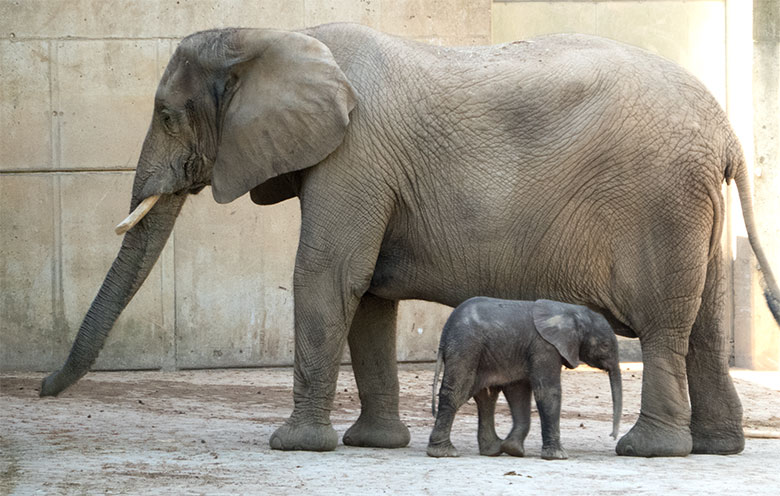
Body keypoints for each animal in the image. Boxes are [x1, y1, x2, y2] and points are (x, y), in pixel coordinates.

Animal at [426, 296, 620, 460]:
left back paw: (493, 450)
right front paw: (558, 456)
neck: (571, 312)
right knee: (457, 391)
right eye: (605, 345)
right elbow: (547, 392)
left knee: (486, 397)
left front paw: (514, 450)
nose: (612, 436)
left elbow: (519, 393)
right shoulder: (545, 347)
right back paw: (444, 452)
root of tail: (444, 334)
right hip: (466, 347)